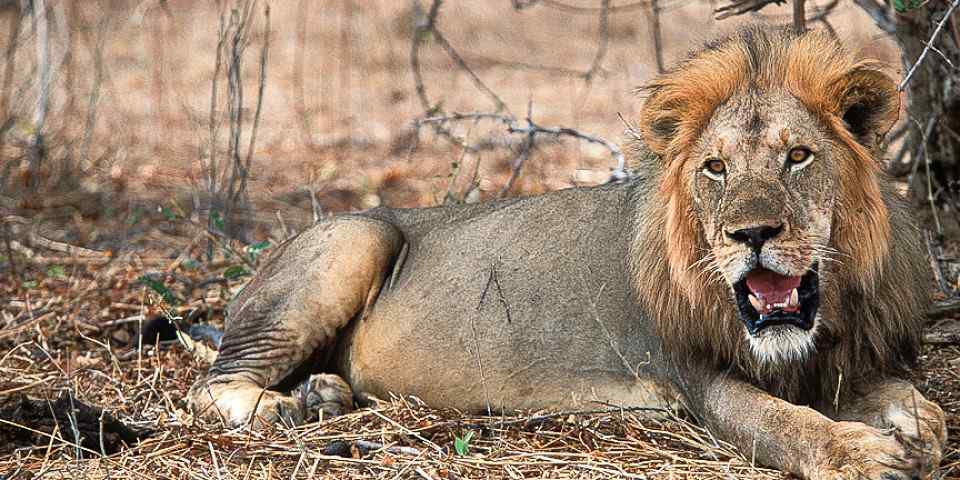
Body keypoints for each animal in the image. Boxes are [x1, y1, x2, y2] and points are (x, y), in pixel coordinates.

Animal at [187, 26, 946, 479]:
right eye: (716, 169)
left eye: (798, 157)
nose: (751, 235)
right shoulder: (697, 379)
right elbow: (785, 424)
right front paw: (861, 452)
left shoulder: (844, 358)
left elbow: (907, 399)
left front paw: (919, 430)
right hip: (353, 238)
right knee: (211, 382)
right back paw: (279, 410)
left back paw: (321, 394)